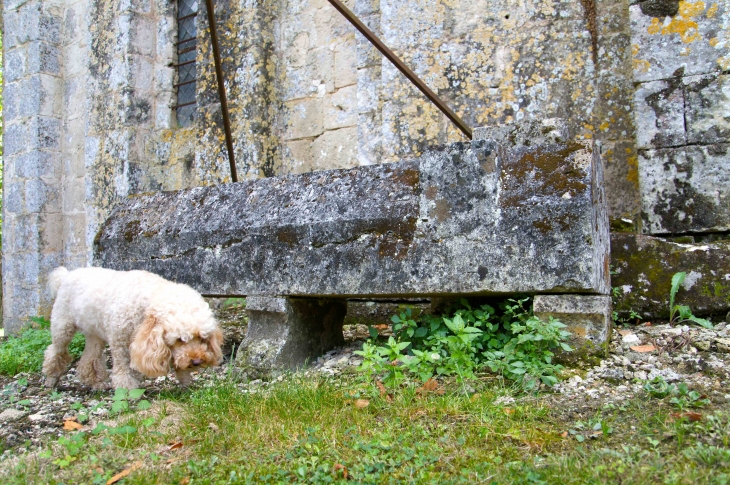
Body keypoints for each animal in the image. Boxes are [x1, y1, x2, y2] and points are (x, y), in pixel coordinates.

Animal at [42, 266, 222, 388]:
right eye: (179, 339)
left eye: (202, 337)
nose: (197, 361)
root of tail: (66, 275)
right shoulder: (119, 342)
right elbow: (123, 369)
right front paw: (127, 390)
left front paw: (185, 380)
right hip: (62, 326)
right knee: (55, 350)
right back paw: (51, 378)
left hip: (94, 332)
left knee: (90, 357)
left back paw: (95, 381)